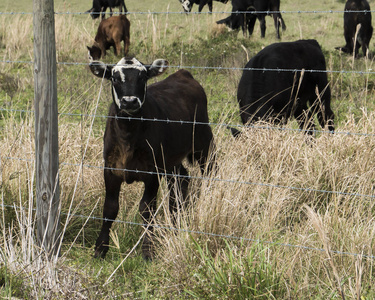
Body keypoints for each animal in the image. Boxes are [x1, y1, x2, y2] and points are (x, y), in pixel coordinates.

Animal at [88, 57, 216, 258]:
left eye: (142, 77)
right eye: (115, 78)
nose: (130, 101)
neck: (128, 133)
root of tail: (183, 74)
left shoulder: (153, 172)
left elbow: (146, 210)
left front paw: (148, 249)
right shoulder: (110, 169)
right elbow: (110, 208)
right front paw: (100, 248)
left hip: (204, 142)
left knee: (211, 171)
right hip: (172, 158)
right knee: (181, 181)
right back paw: (176, 221)